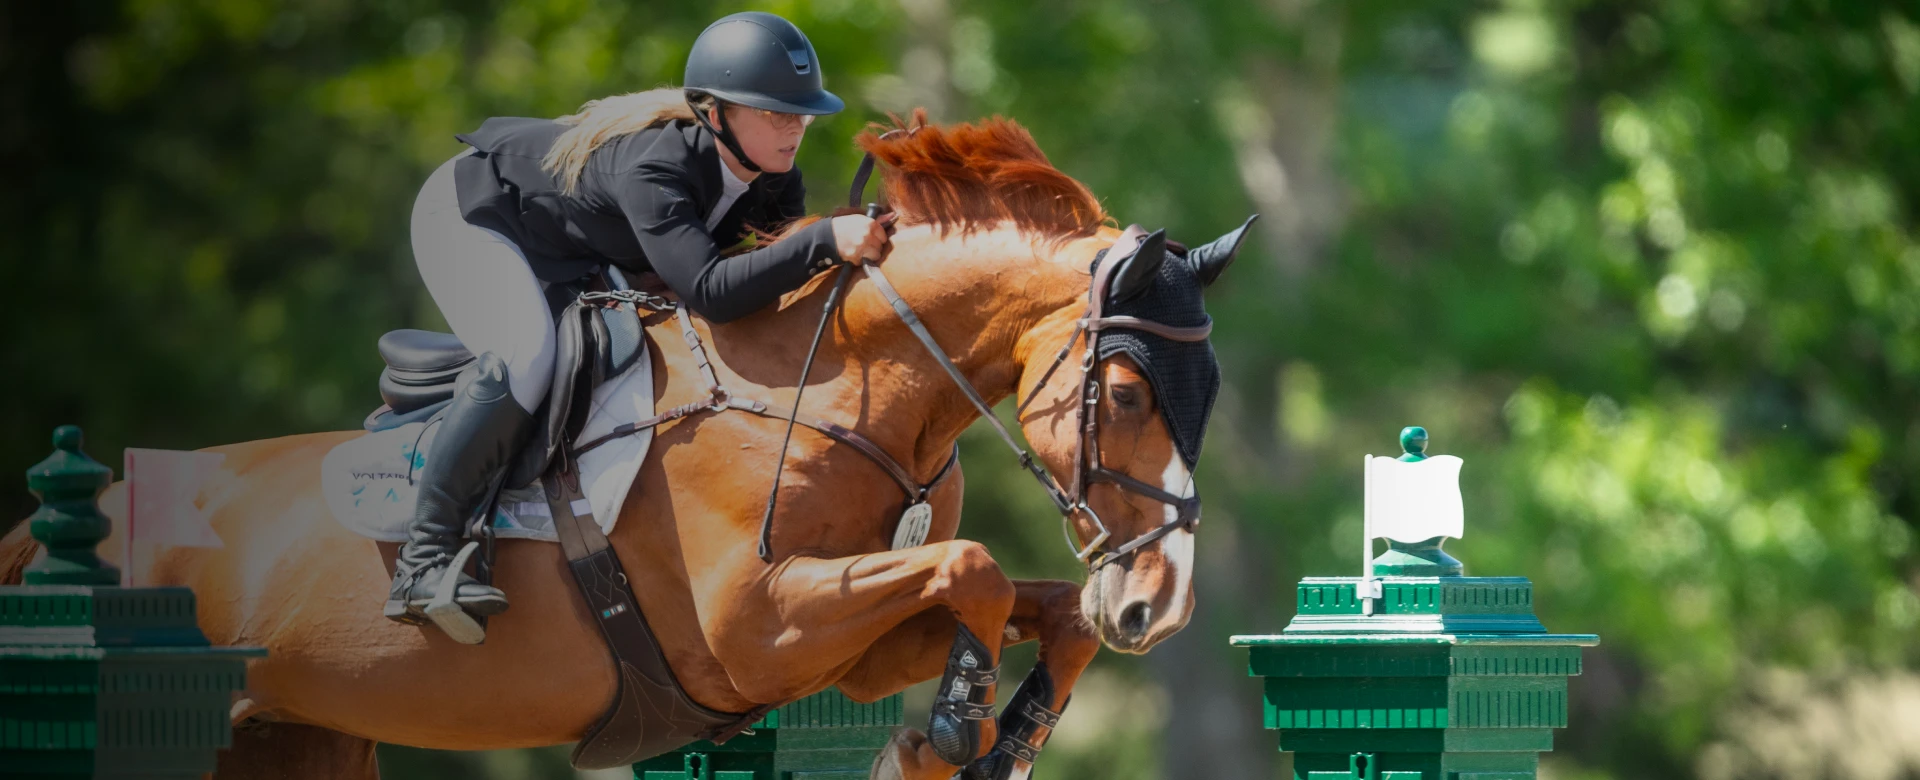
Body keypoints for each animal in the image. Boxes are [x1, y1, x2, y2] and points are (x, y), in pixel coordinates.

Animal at [0, 114, 1251, 780]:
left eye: (1209, 399)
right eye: (1127, 392)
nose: (1158, 602)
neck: (838, 391)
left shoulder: (834, 650)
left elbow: (1036, 604)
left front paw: (1009, 730)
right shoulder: (757, 629)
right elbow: (977, 568)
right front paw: (950, 728)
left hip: (293, 732)